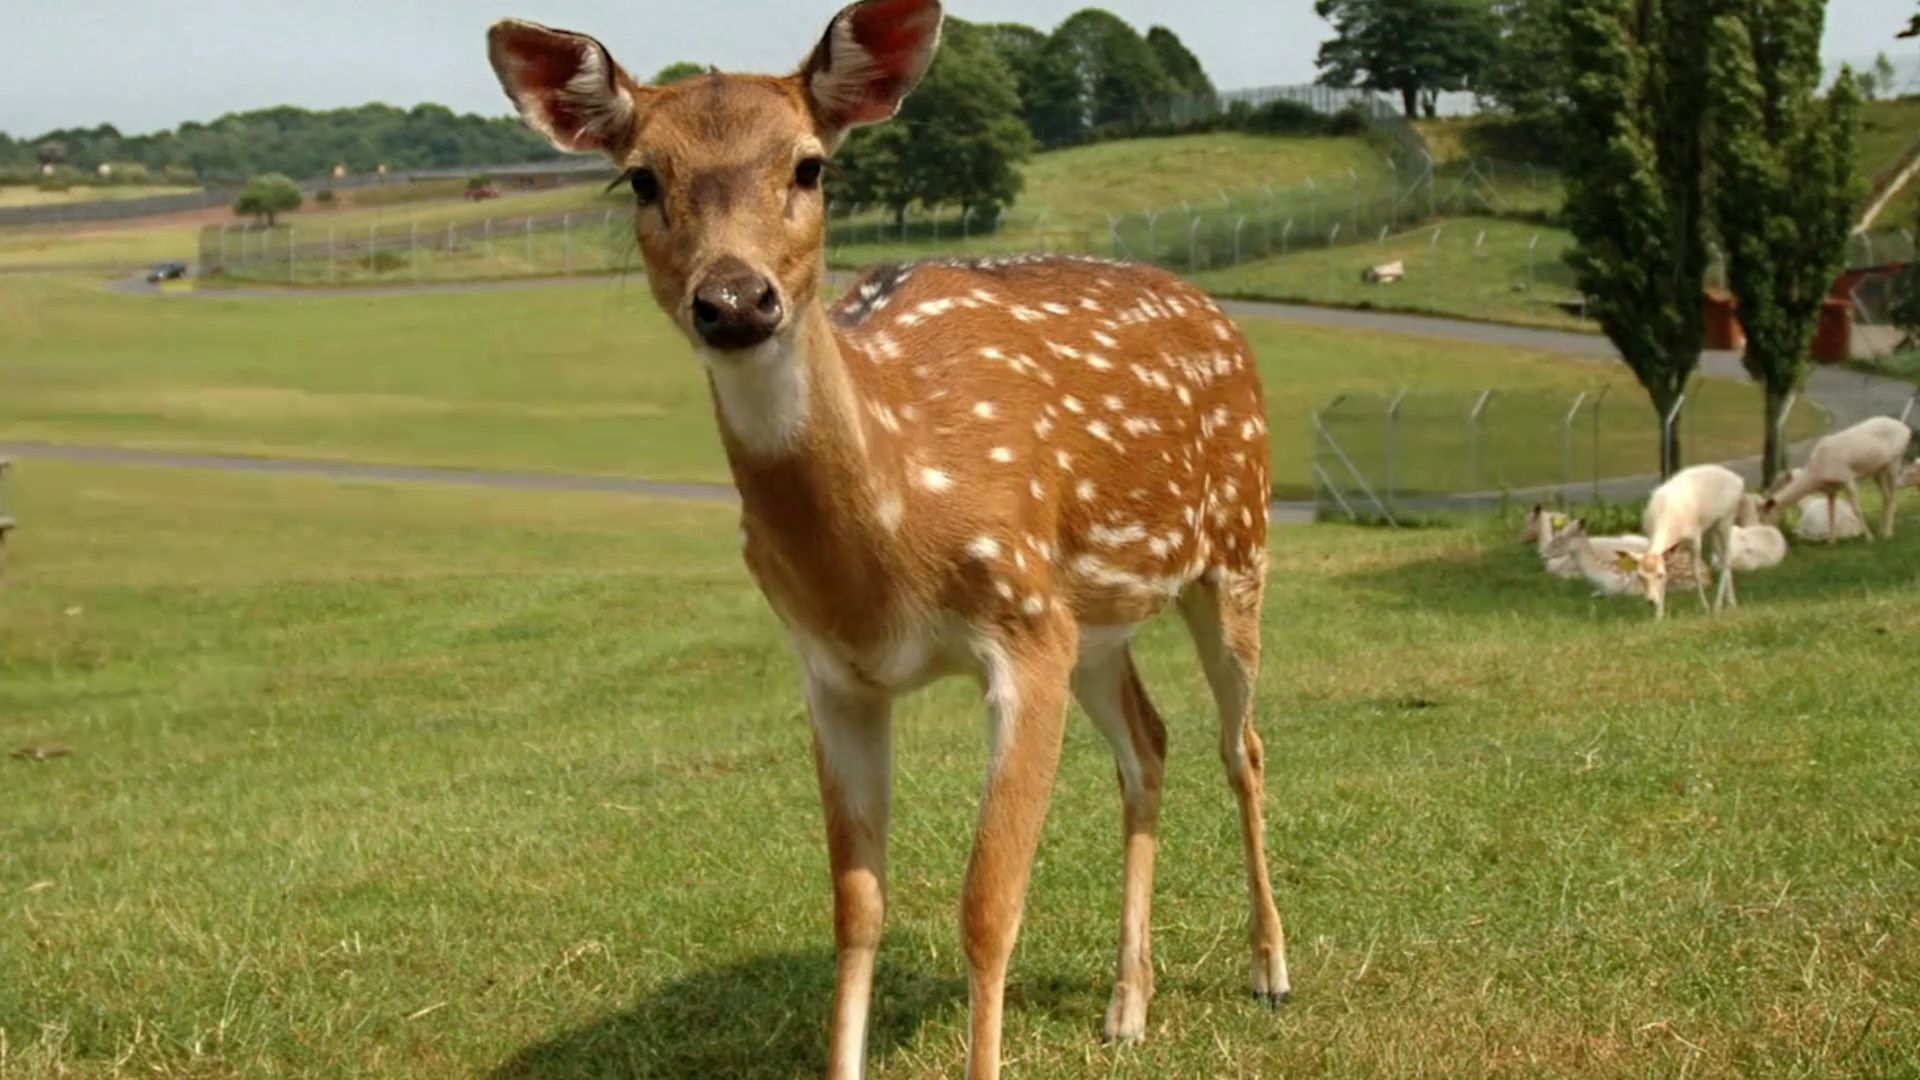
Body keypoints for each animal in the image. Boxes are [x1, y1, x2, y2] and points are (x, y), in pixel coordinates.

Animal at [487, 4, 1290, 1068]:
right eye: (642, 177)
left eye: (810, 165)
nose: (734, 300)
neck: (889, 549)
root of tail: (1221, 315)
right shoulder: (835, 672)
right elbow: (856, 908)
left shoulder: (1022, 626)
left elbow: (987, 907)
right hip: (1095, 622)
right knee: (1149, 744)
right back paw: (1127, 1007)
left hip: (1234, 549)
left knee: (1241, 743)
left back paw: (1270, 968)